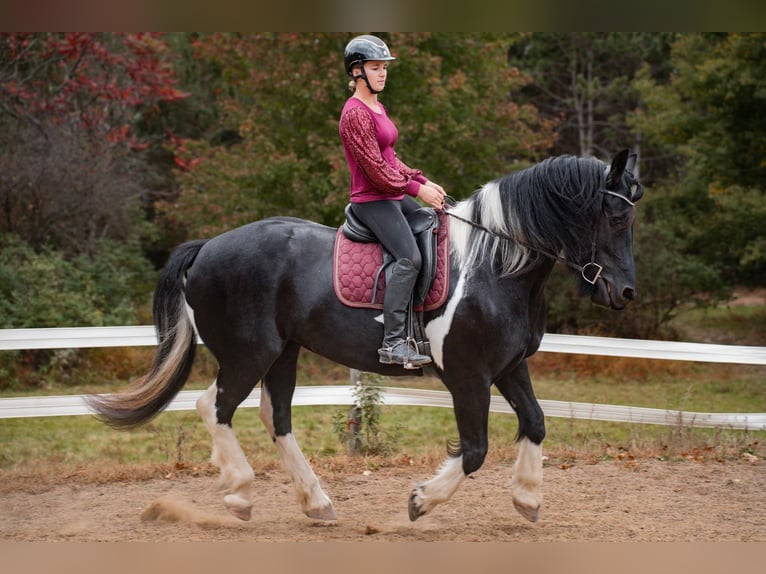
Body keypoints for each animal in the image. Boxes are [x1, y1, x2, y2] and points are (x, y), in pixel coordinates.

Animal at [87, 148, 644, 528]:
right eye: (617, 217)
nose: (625, 292)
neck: (494, 266)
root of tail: (206, 248)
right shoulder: (468, 377)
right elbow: (475, 450)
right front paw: (420, 501)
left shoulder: (509, 367)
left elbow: (536, 422)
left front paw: (527, 498)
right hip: (250, 354)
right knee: (216, 407)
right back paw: (240, 493)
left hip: (283, 352)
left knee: (276, 417)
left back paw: (316, 502)